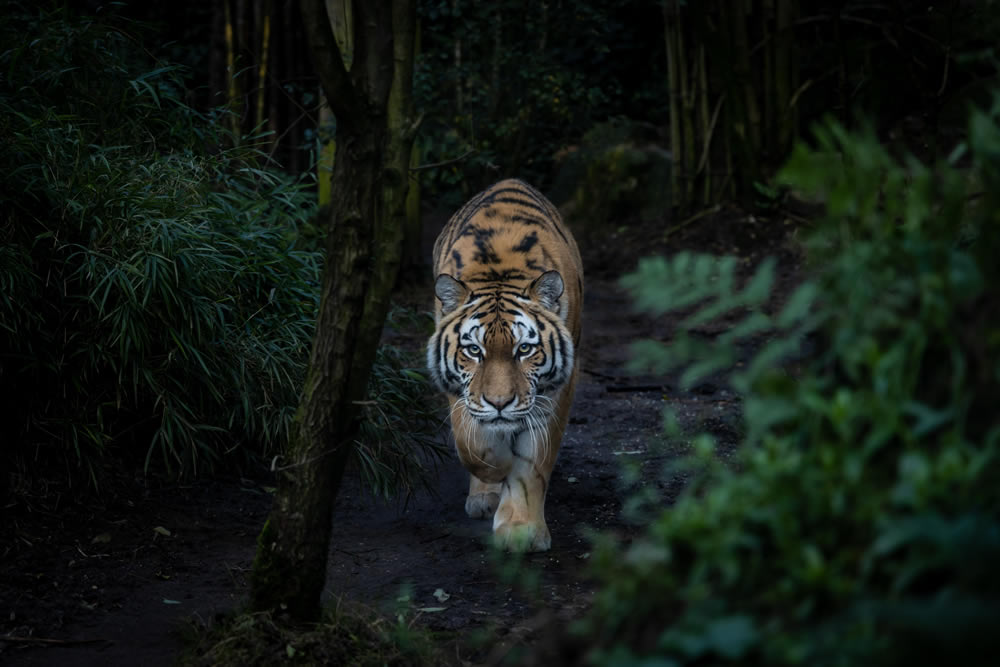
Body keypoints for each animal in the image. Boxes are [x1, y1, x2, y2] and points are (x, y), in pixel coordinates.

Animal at [426, 177, 584, 552]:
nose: (499, 403)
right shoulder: (459, 390)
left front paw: (522, 530)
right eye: (473, 350)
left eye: (524, 349)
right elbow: (473, 443)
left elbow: (532, 461)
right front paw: (494, 471)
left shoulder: (555, 391)